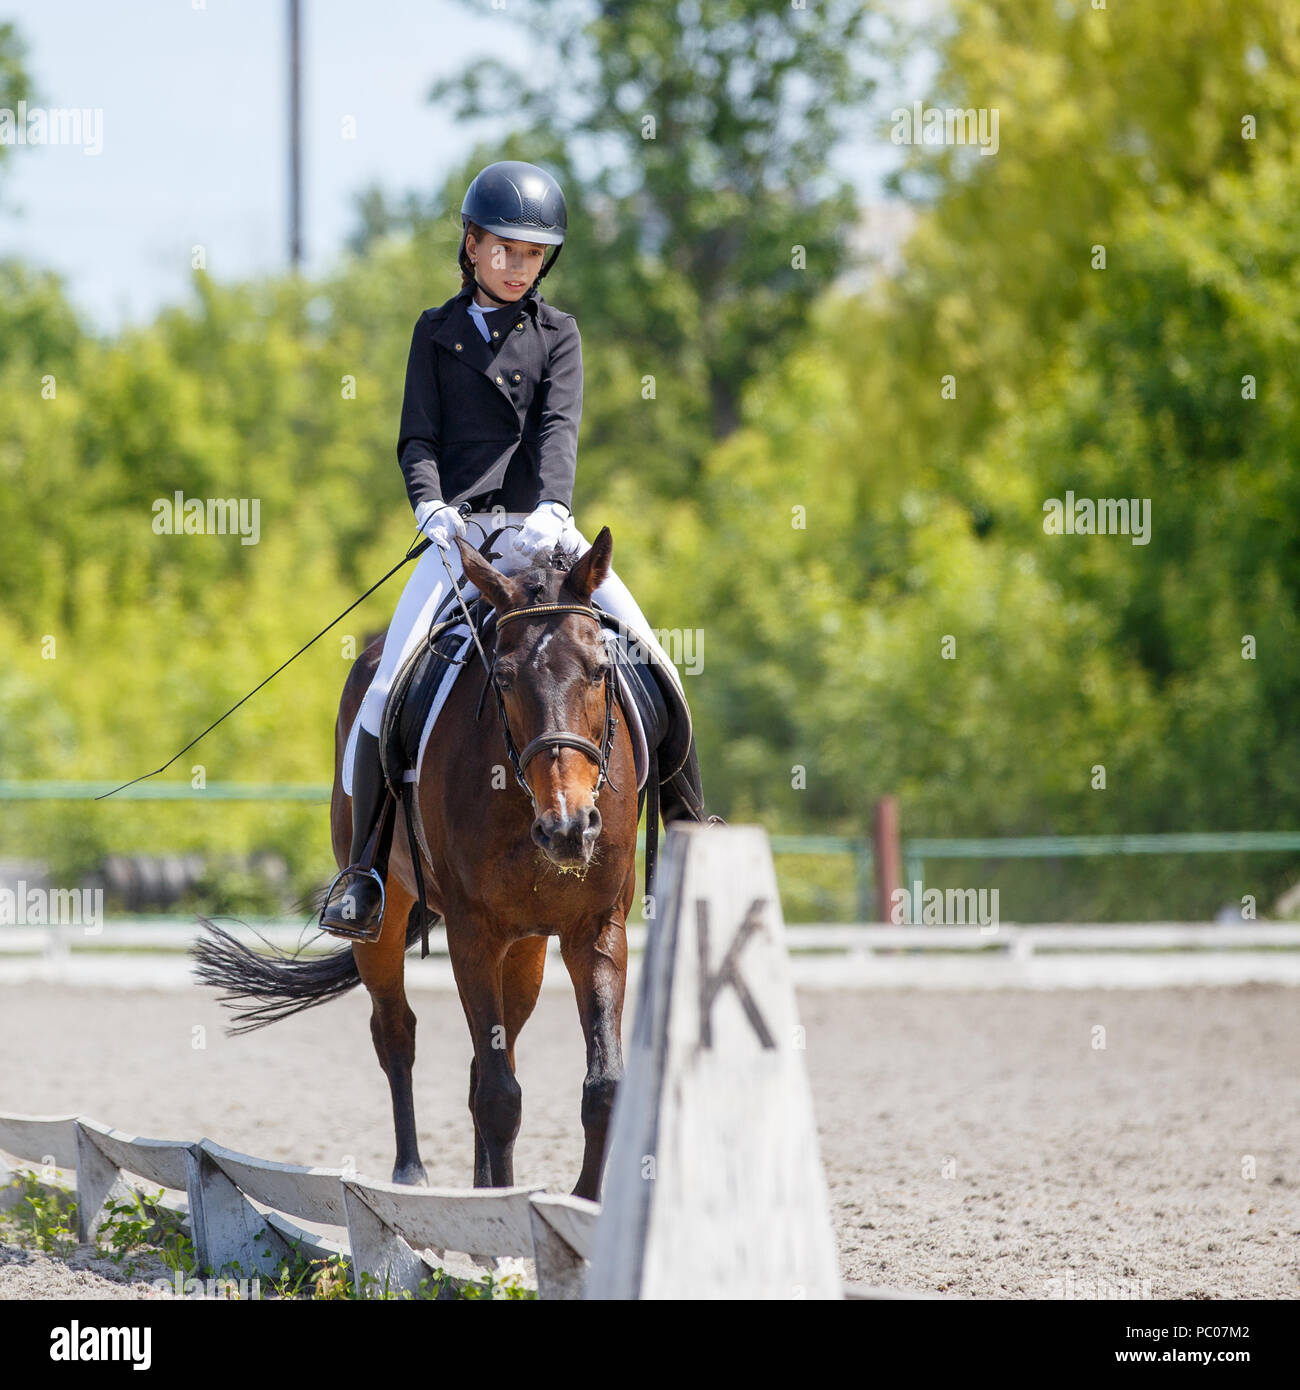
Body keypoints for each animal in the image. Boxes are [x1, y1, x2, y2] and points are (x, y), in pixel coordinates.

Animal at [194, 527, 640, 1200]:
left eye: (599, 670)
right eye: (502, 677)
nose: (567, 828)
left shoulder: (596, 926)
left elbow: (601, 1089)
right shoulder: (472, 931)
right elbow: (500, 1098)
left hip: (528, 944)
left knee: (489, 1057)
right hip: (385, 913)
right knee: (396, 1032)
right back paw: (412, 1174)